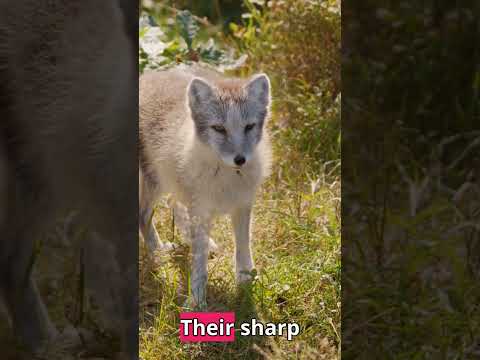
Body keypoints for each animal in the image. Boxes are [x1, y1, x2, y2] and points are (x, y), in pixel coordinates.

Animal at [141, 64, 272, 306]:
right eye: (219, 129)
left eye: (249, 127)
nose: (240, 159)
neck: (226, 176)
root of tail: (148, 75)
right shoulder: (201, 210)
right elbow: (199, 265)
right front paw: (196, 301)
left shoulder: (242, 206)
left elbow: (243, 248)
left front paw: (245, 284)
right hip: (155, 181)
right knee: (143, 216)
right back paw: (158, 254)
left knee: (174, 204)